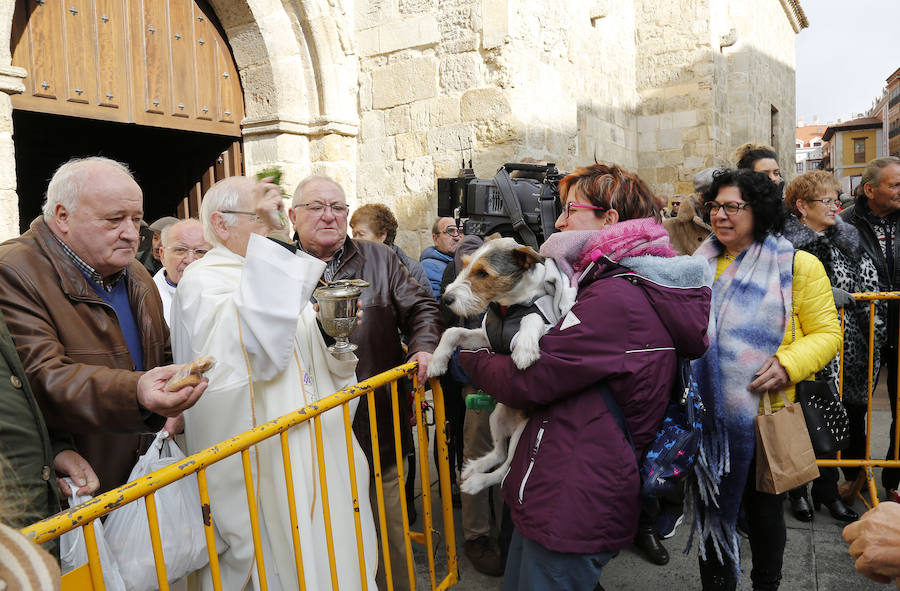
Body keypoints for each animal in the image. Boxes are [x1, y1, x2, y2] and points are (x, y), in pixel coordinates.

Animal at [428, 235, 576, 494]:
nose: (446, 299)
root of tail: (514, 422)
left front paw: (525, 349)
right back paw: (474, 468)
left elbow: (532, 316)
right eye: (465, 264)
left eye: (483, 273)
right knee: (498, 453)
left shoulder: (550, 326)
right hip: (496, 417)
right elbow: (453, 331)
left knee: (505, 468)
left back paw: (477, 482)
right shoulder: (486, 338)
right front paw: (437, 361)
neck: (509, 308)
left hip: (521, 436)